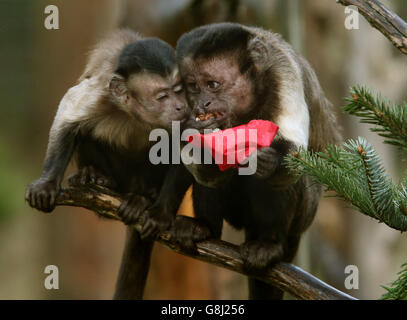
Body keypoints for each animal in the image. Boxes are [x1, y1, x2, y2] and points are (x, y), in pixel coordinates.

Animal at [25, 28, 190, 298]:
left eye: (179, 91)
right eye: (162, 96)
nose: (180, 106)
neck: (133, 113)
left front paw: (160, 213)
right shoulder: (99, 94)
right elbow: (67, 116)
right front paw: (46, 184)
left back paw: (143, 197)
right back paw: (95, 176)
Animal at [143, 23, 342, 300]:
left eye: (212, 84)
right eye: (193, 86)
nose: (202, 103)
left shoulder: (283, 74)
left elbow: (295, 158)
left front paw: (268, 163)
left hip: (305, 215)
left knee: (277, 184)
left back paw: (270, 244)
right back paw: (204, 227)